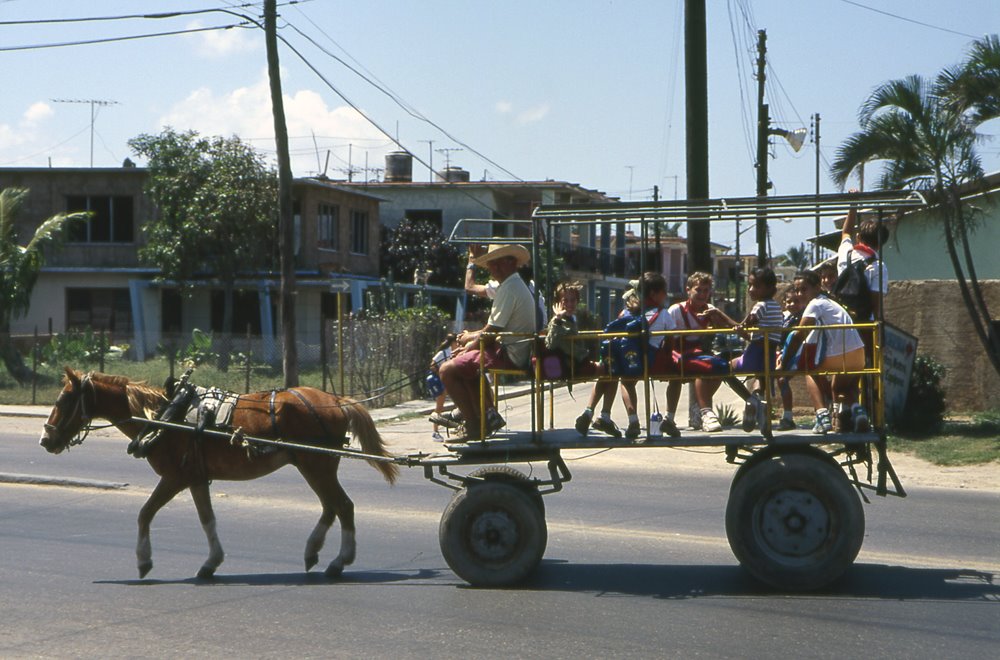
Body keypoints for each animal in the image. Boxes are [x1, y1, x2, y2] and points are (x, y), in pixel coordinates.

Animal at [39, 368, 398, 580]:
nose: (45, 440)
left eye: (64, 398)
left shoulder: (175, 478)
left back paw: (339, 562)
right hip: (312, 464)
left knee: (343, 506)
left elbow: (145, 513)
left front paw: (144, 560)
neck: (164, 416)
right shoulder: (196, 478)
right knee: (330, 507)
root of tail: (336, 400)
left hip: (316, 465)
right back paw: (314, 551)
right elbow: (207, 519)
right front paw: (211, 562)